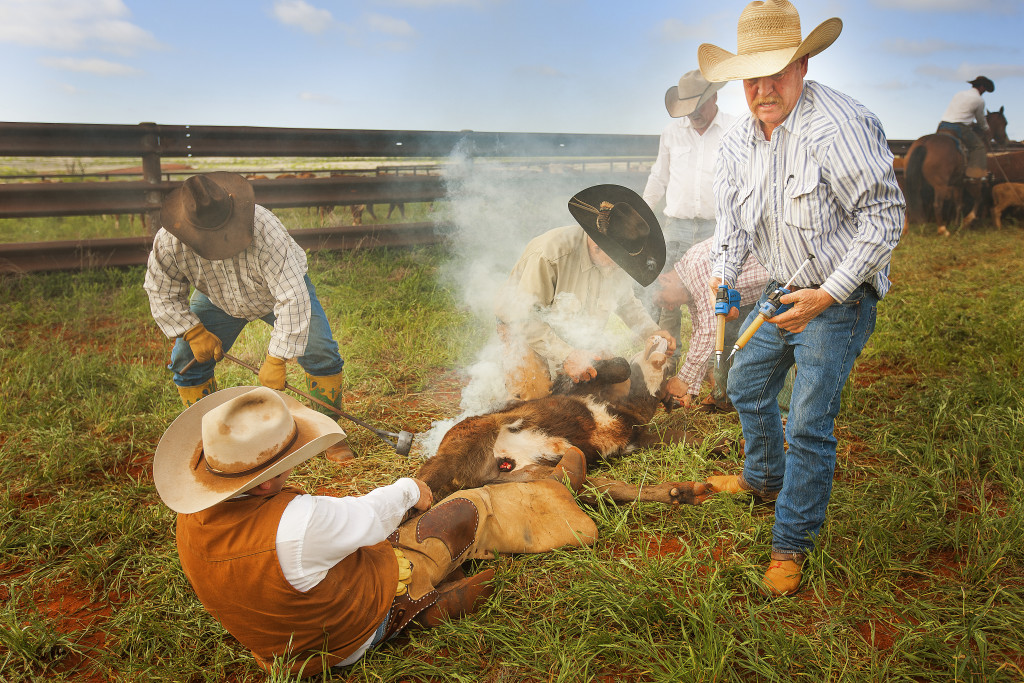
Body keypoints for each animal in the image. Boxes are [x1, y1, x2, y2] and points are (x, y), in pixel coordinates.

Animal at [909, 107, 1011, 235]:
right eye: (1005, 123)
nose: (1006, 142)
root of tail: (925, 144)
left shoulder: (958, 183)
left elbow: (958, 203)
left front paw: (956, 223)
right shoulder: (974, 181)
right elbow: (979, 198)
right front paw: (967, 220)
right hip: (940, 185)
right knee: (937, 205)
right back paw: (943, 230)